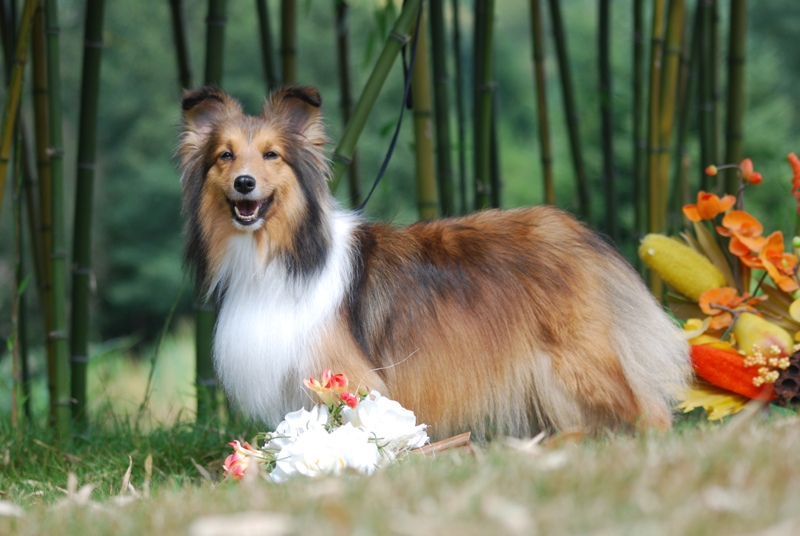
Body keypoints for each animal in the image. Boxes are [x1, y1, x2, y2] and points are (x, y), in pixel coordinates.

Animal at [178, 86, 692, 440]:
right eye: (225, 156)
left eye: (272, 155)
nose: (245, 183)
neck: (281, 254)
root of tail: (577, 232)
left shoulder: (352, 378)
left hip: (581, 362)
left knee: (650, 409)